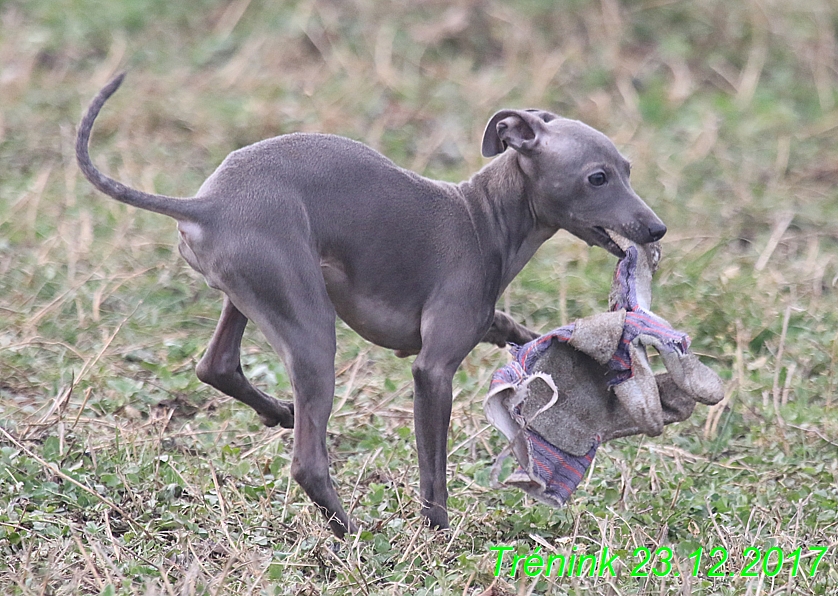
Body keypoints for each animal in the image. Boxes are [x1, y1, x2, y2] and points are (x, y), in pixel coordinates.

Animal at [79, 72, 668, 536]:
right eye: (597, 177)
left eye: (628, 168)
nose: (657, 228)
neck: (483, 217)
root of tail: (205, 204)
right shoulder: (433, 371)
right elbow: (433, 469)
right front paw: (437, 534)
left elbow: (509, 329)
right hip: (307, 320)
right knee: (307, 459)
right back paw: (351, 532)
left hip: (253, 294)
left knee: (216, 365)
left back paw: (278, 412)